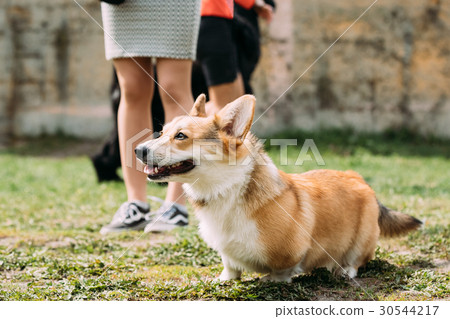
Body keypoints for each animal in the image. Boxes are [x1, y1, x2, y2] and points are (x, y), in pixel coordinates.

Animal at [134, 94, 422, 282]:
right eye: (162, 132)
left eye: (181, 136)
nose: (138, 150)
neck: (227, 189)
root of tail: (359, 179)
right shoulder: (226, 253)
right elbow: (230, 267)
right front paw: (225, 278)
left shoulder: (292, 255)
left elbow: (281, 271)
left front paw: (270, 280)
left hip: (362, 240)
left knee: (357, 260)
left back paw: (344, 270)